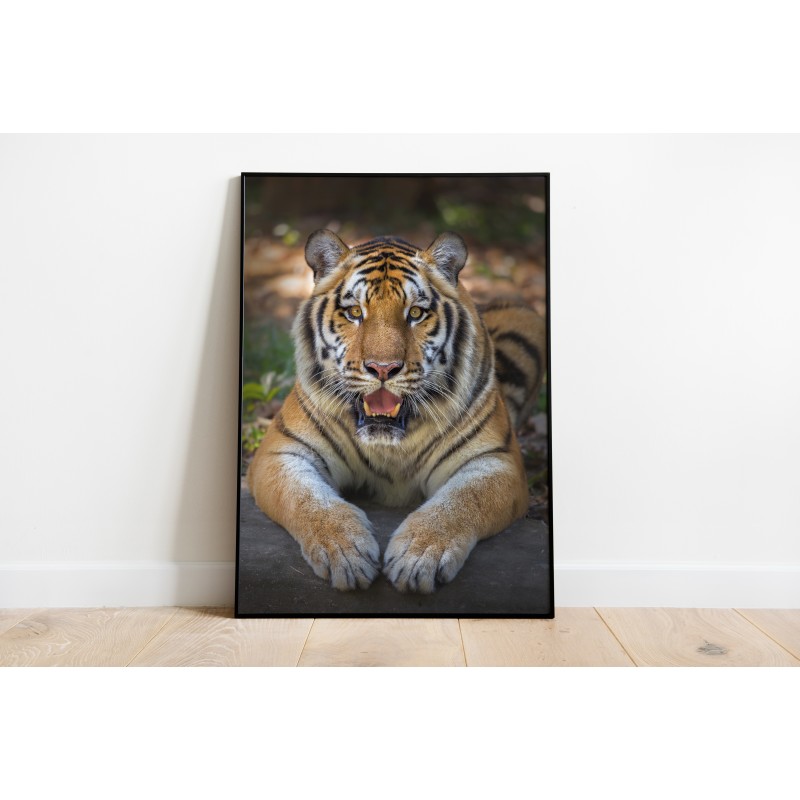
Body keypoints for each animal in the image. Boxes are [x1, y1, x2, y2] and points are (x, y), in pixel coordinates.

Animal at [247, 229, 546, 593]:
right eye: (354, 312)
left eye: (415, 313)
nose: (383, 368)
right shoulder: (282, 452)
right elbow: (307, 500)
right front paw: (346, 552)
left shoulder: (495, 460)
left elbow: (461, 503)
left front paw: (418, 557)